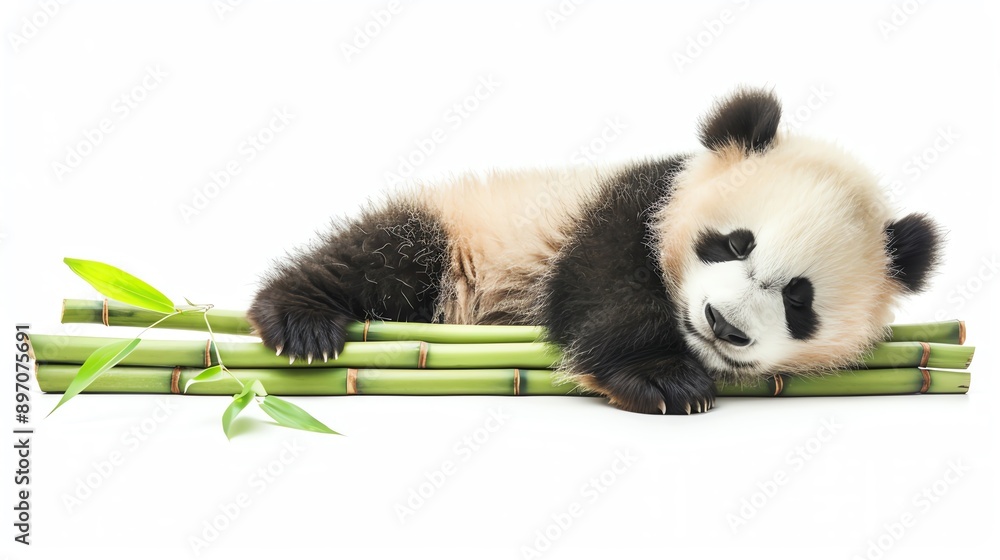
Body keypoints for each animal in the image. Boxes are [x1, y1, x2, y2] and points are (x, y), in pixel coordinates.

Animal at [247, 87, 942, 415]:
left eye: (800, 299)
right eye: (733, 243)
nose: (722, 325)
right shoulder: (629, 204)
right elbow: (602, 287)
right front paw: (664, 379)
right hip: (458, 232)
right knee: (381, 257)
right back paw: (303, 322)